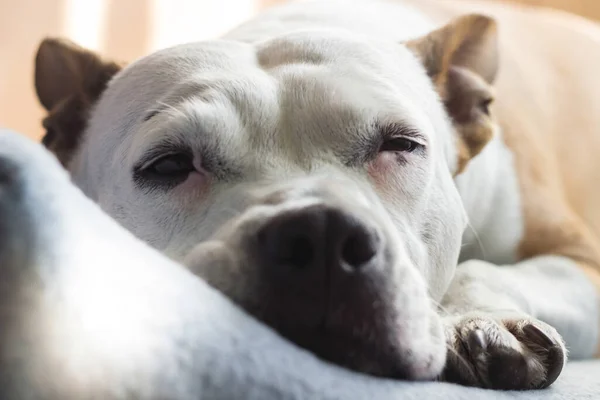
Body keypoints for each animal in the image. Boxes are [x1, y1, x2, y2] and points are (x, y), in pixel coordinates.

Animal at [30, 0, 600, 390]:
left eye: (401, 144)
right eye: (168, 165)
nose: (321, 233)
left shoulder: (582, 260)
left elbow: (481, 268)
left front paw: (477, 319)